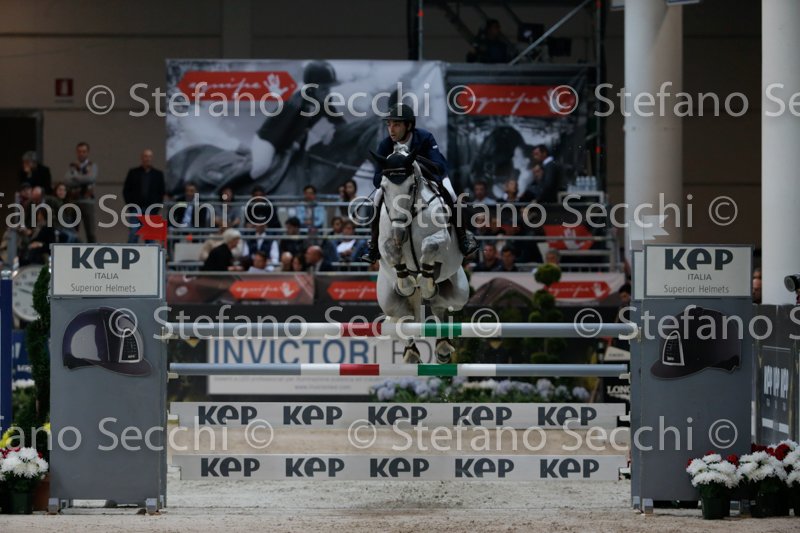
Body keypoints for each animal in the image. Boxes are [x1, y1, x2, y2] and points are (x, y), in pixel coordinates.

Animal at [371, 146, 470, 364]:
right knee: (404, 318)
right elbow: (392, 252)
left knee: (440, 305)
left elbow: (429, 247)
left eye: (410, 187)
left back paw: (442, 345)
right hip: (389, 300)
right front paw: (407, 282)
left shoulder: (442, 239)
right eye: (384, 188)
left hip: (458, 293)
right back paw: (412, 353)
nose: (399, 234)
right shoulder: (384, 243)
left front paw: (424, 282)